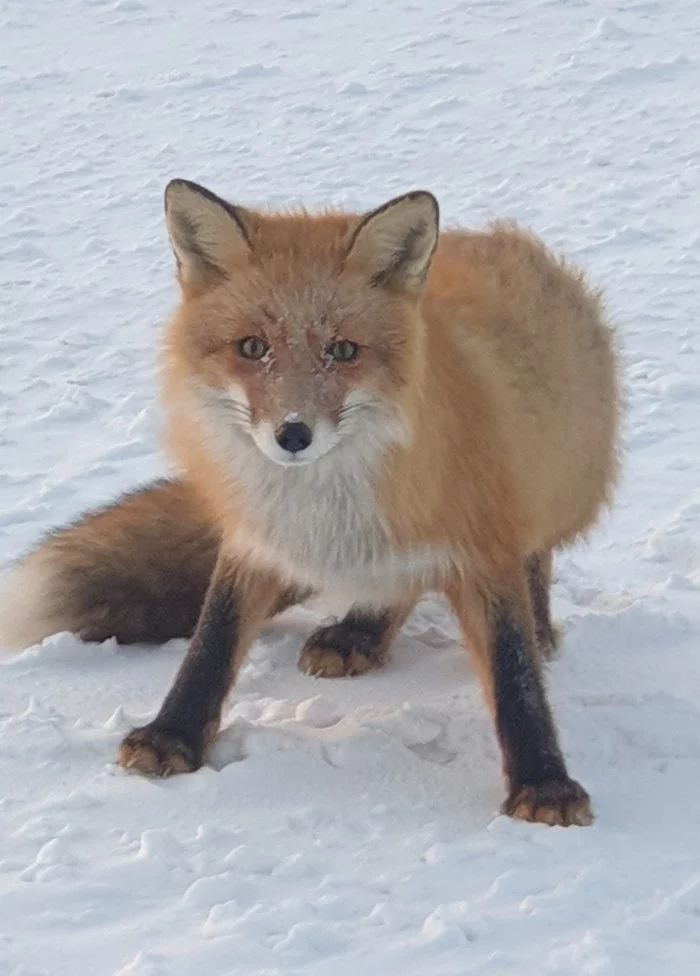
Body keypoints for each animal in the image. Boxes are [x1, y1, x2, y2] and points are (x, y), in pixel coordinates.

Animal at [2, 181, 620, 824]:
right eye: (252, 347)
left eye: (343, 350)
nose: (292, 434)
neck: (325, 508)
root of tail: (517, 242)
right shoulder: (254, 537)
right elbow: (212, 643)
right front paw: (173, 735)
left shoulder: (483, 543)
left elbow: (513, 672)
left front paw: (544, 783)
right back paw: (361, 634)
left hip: (551, 485)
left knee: (534, 561)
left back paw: (533, 625)